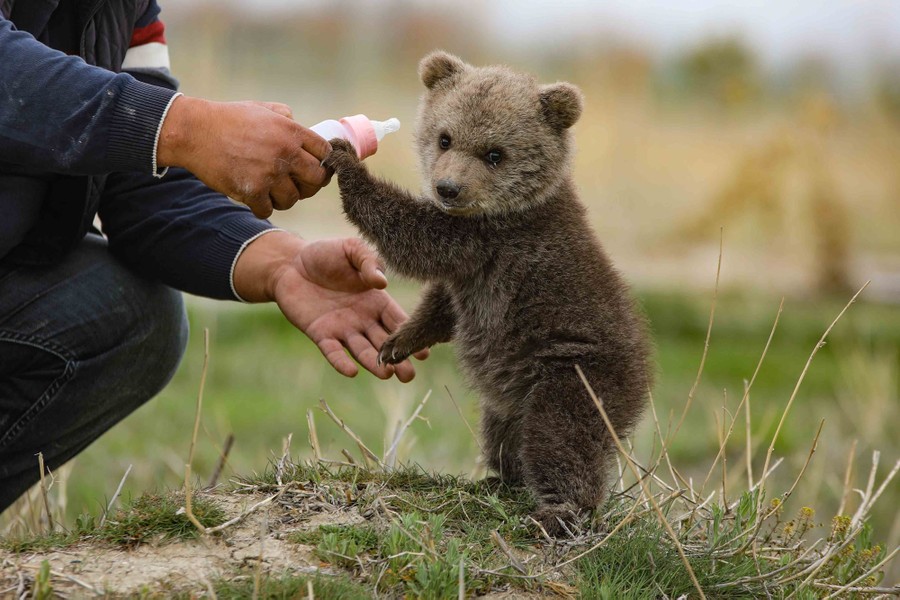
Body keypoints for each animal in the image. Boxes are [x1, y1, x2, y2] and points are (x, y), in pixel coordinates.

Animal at [323, 51, 651, 536]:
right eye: (445, 138)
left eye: (495, 153)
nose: (448, 188)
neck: (499, 209)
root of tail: (642, 381)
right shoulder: (471, 275)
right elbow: (443, 303)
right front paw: (398, 342)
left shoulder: (489, 239)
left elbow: (414, 238)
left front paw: (346, 161)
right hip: (510, 401)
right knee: (504, 436)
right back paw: (500, 479)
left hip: (575, 375)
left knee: (560, 440)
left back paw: (559, 511)